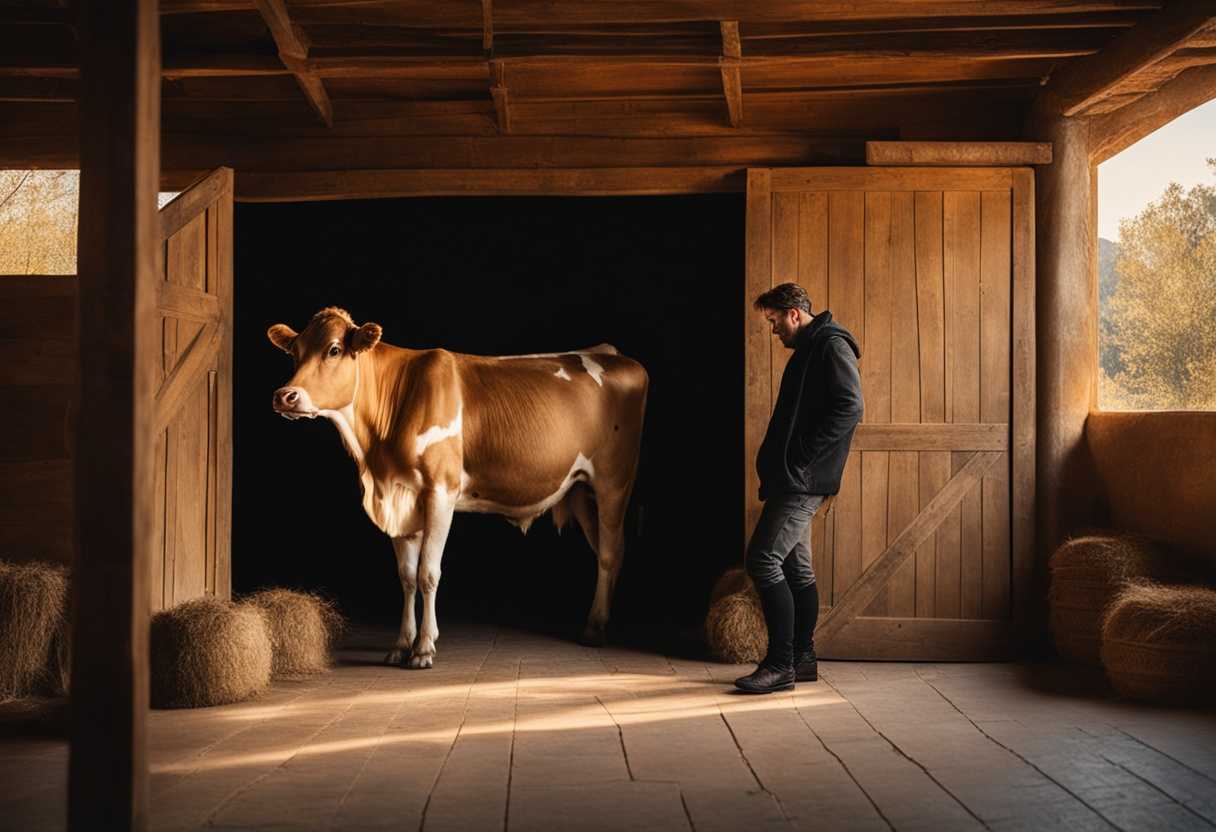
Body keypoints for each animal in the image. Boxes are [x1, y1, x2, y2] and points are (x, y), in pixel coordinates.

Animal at [267, 307, 648, 668]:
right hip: (579, 488)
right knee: (606, 549)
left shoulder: (440, 492)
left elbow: (428, 573)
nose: (285, 396)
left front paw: (423, 649)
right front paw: (401, 645)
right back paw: (597, 623)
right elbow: (407, 576)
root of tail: (611, 354)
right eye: (294, 352)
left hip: (614, 480)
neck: (376, 455)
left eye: (333, 349)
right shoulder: (400, 495)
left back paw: (595, 630)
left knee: (610, 552)